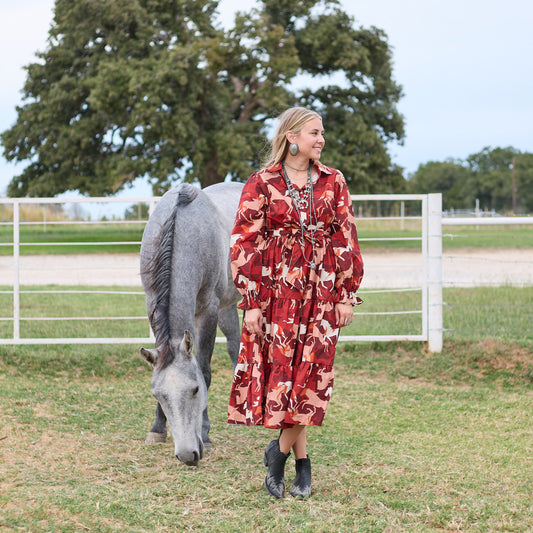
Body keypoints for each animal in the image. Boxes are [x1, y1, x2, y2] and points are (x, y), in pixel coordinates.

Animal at [139, 182, 243, 466]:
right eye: (158, 395)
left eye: (196, 390)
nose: (187, 455)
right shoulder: (152, 306)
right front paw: (157, 428)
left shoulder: (207, 312)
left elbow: (205, 370)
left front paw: (205, 434)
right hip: (228, 305)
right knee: (235, 344)